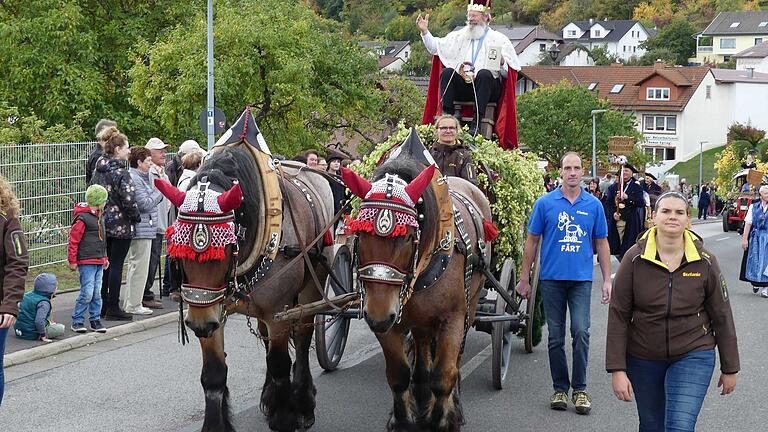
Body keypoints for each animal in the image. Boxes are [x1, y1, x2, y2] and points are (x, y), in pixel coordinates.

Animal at [154, 109, 334, 432]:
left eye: (226, 248)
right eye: (178, 251)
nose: (199, 325)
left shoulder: (277, 312)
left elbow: (280, 366)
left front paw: (285, 418)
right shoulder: (211, 307)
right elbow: (214, 375)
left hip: (311, 287)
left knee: (302, 338)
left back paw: (302, 403)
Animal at [340, 156, 492, 432]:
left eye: (408, 236)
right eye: (361, 233)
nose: (378, 316)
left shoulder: (452, 319)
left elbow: (444, 376)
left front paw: (441, 421)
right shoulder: (390, 322)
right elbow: (398, 374)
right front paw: (402, 421)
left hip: (471, 304)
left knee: (454, 359)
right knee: (421, 350)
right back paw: (421, 392)